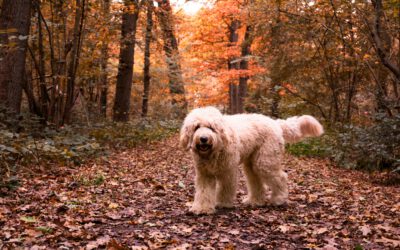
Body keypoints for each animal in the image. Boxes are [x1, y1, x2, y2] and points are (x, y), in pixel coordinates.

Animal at [180, 106, 324, 214]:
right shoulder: (204, 174)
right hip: (252, 164)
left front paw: (223, 203)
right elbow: (203, 192)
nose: (203, 138)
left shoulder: (228, 171)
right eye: (196, 127)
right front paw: (202, 208)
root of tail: (275, 123)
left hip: (265, 161)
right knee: (256, 182)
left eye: (211, 127)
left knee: (281, 177)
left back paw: (278, 199)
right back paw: (256, 201)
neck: (215, 150)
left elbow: (226, 188)